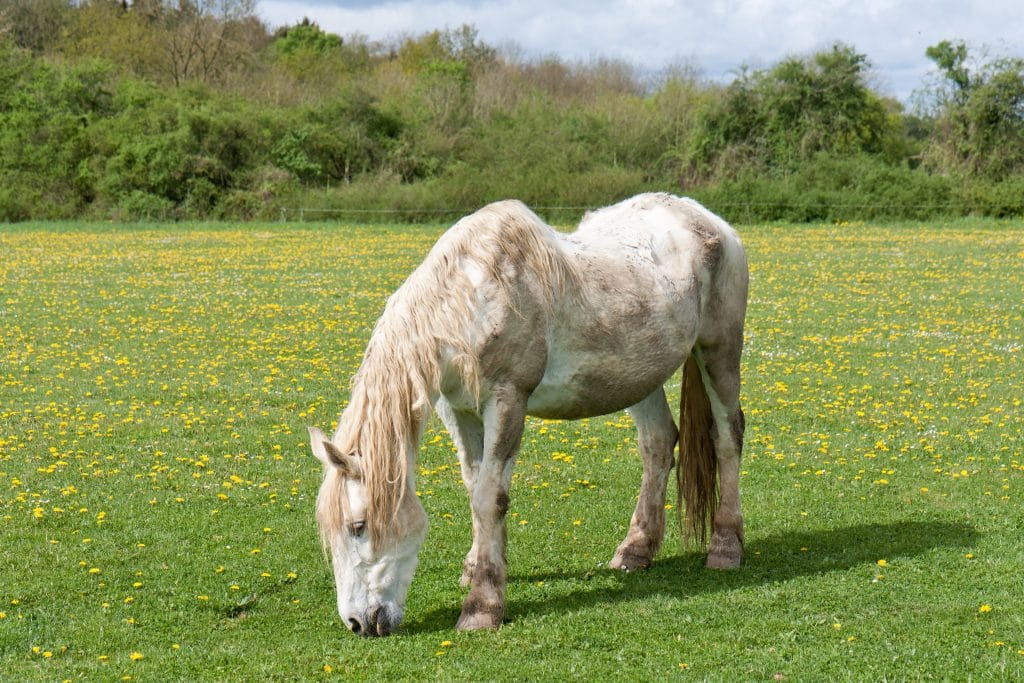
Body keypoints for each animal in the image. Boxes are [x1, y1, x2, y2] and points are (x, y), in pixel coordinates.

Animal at [309, 192, 748, 636]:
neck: (473, 303)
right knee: (658, 444)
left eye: (358, 526)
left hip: (719, 352)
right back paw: (635, 551)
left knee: (728, 436)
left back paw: (725, 547)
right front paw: (480, 567)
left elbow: (490, 497)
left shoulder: (507, 401)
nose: (358, 623)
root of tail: (712, 222)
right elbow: (475, 486)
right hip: (642, 377)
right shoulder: (459, 410)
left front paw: (483, 606)